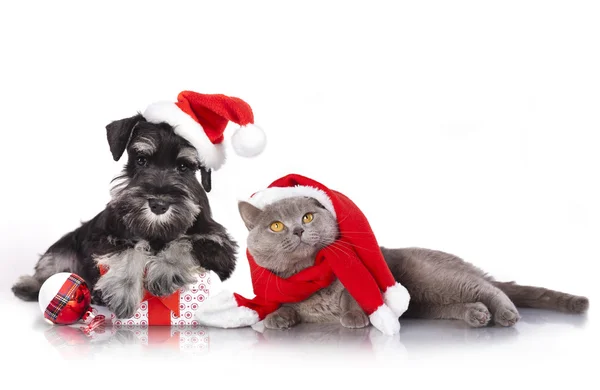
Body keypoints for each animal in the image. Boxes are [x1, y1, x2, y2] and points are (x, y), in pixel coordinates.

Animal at [11, 114, 237, 318]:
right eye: (141, 160)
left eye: (184, 167)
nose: (158, 205)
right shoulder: (101, 238)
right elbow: (128, 250)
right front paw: (123, 291)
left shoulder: (220, 245)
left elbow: (186, 242)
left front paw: (166, 270)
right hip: (65, 247)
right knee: (49, 267)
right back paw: (28, 286)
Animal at [237, 198, 588, 330]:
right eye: (276, 226)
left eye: (308, 217)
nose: (297, 229)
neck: (308, 273)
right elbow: (283, 305)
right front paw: (279, 318)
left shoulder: (362, 277)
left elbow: (353, 295)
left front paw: (353, 317)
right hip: (425, 302)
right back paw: (476, 314)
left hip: (434, 277)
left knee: (491, 288)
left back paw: (505, 314)